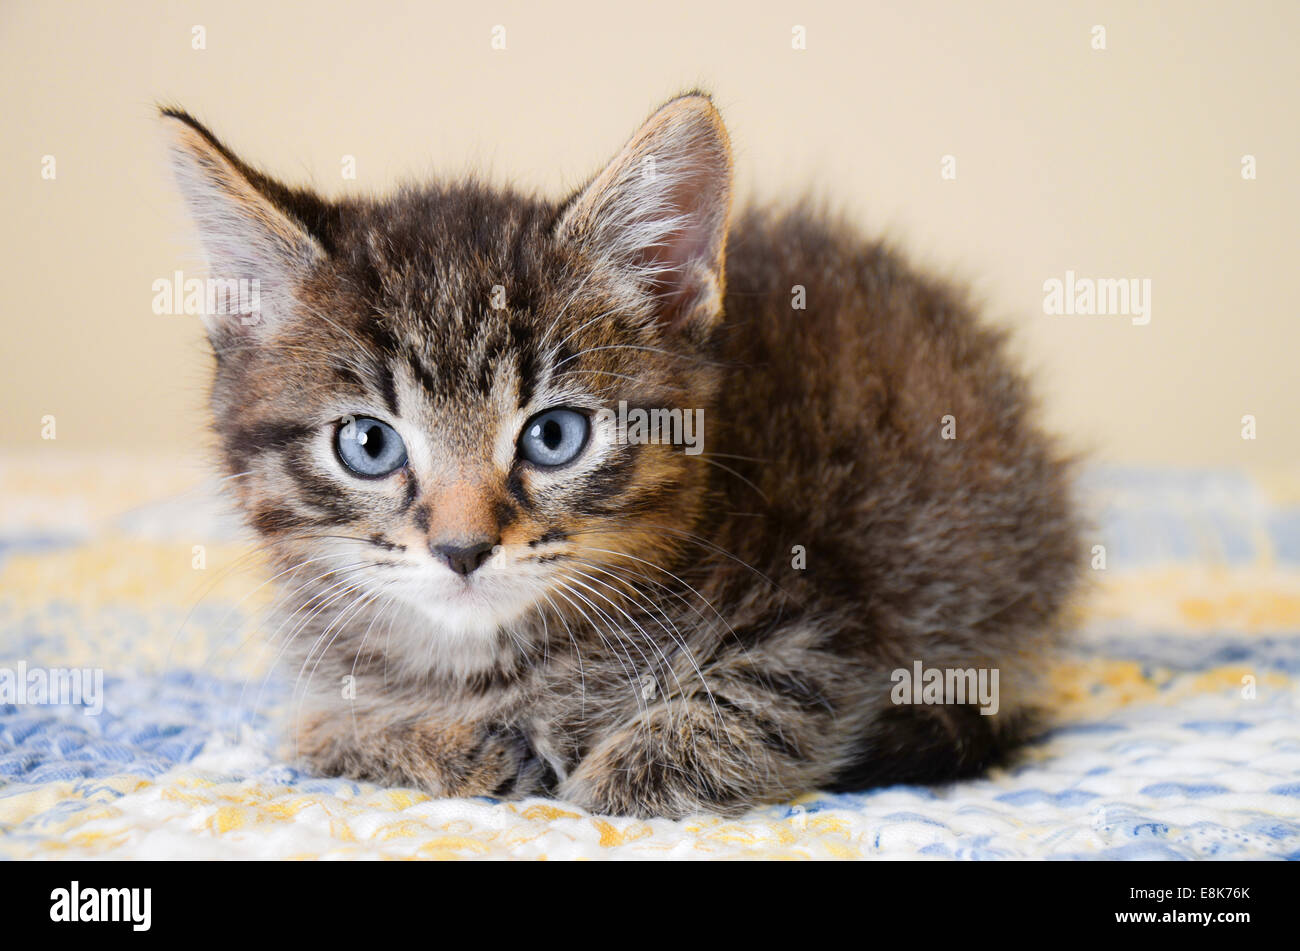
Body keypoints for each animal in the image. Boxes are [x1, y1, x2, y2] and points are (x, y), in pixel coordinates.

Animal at [159, 92, 1076, 815]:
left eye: (554, 436)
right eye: (369, 443)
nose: (461, 549)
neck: (487, 661)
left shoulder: (818, 628)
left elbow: (748, 705)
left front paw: (611, 773)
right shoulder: (321, 680)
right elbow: (317, 732)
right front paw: (450, 746)